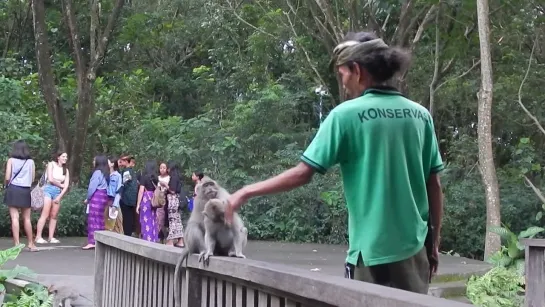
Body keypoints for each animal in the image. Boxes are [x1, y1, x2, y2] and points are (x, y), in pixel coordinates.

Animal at [174, 177, 230, 307]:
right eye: (206, 185)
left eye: (211, 184)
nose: (210, 188)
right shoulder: (199, 202)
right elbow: (200, 223)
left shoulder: (222, 195)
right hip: (191, 244)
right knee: (194, 227)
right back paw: (204, 250)